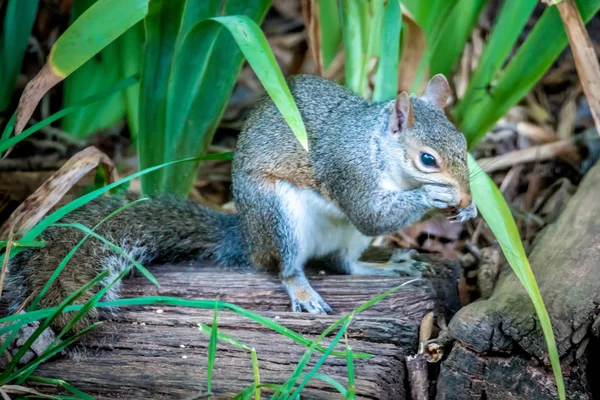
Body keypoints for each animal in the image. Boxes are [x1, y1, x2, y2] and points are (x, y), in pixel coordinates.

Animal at [7, 74, 478, 328]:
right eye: (428, 159)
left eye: (463, 143)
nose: (466, 195)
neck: (378, 149)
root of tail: (248, 238)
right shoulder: (349, 171)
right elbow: (371, 215)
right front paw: (433, 195)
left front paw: (469, 208)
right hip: (278, 216)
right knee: (288, 267)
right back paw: (302, 289)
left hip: (341, 239)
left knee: (343, 263)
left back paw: (383, 267)